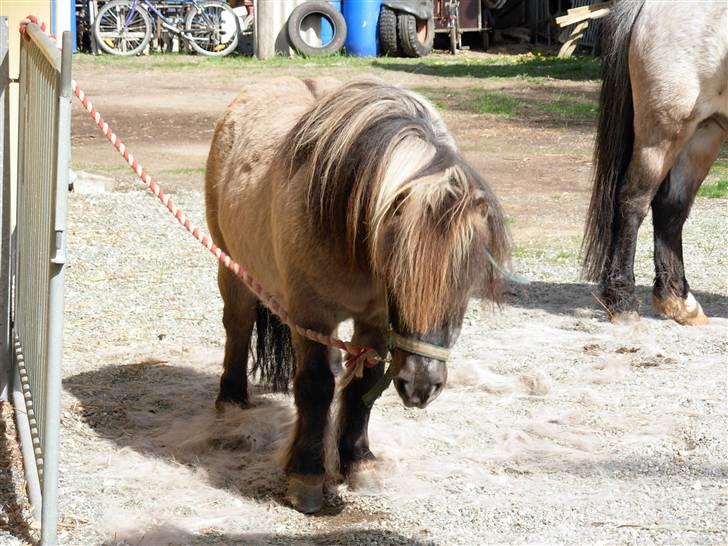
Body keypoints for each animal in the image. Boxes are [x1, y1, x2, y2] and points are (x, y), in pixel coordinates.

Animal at [205, 76, 510, 510]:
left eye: (466, 286)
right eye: (399, 277)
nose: (421, 386)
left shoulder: (375, 322)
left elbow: (364, 387)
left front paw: (358, 461)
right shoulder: (312, 315)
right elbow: (316, 386)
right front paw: (307, 475)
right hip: (232, 264)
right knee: (238, 324)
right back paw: (231, 399)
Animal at [584, 0, 728, 320]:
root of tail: (648, 5)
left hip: (705, 132)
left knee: (671, 206)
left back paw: (678, 302)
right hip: (663, 133)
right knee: (633, 202)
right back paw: (623, 302)